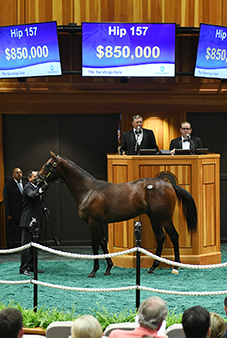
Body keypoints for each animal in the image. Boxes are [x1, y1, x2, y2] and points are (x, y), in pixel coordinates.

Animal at [37, 151, 197, 278]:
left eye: (47, 165)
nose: (37, 179)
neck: (89, 190)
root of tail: (169, 185)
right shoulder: (99, 222)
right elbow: (103, 242)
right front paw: (108, 268)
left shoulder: (93, 222)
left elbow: (95, 245)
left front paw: (94, 271)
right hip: (154, 217)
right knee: (161, 237)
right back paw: (153, 267)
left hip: (164, 218)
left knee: (174, 236)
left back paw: (176, 266)